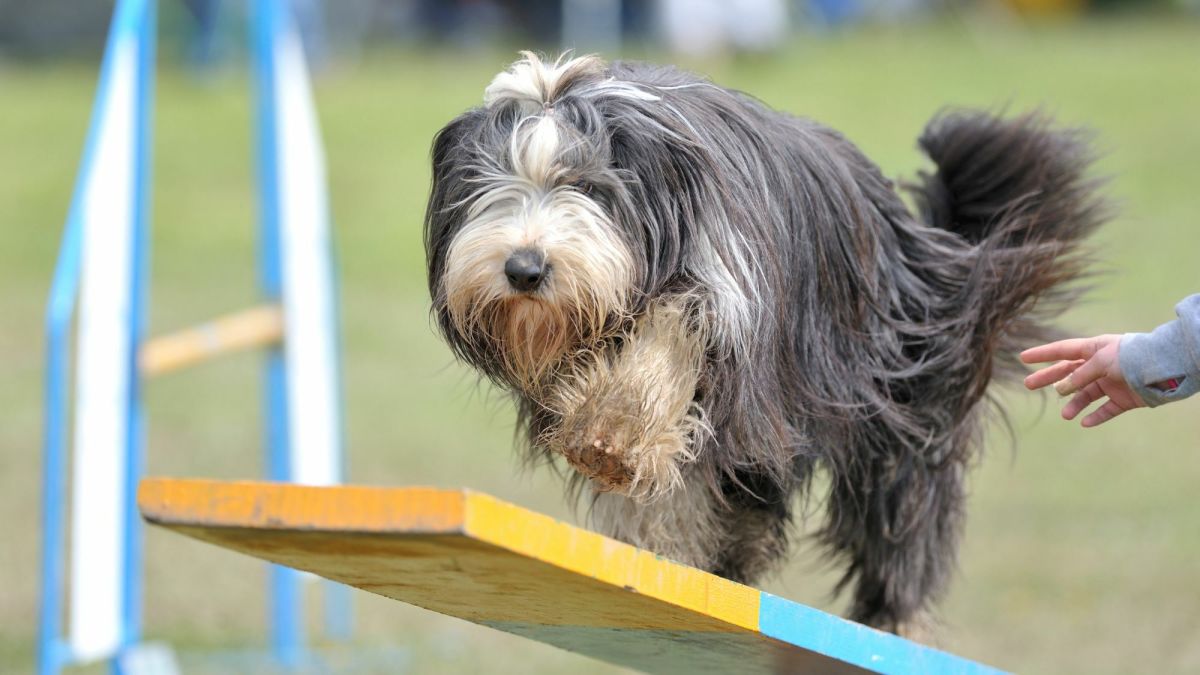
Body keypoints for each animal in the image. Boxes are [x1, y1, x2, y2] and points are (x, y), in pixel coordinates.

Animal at [424, 53, 1104, 634]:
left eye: (588, 187)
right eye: (490, 186)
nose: (525, 269)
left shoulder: (726, 296)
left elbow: (671, 335)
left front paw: (613, 435)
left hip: (896, 402)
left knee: (900, 515)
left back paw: (896, 620)